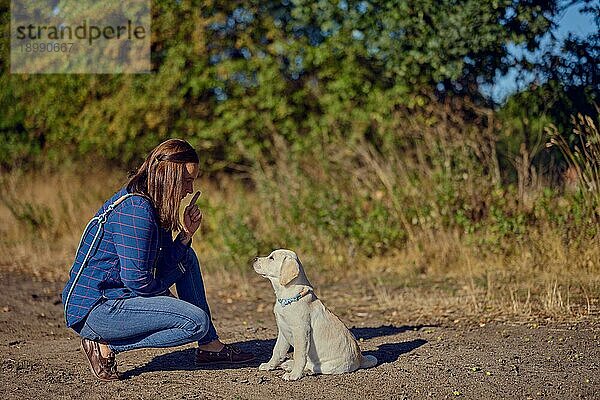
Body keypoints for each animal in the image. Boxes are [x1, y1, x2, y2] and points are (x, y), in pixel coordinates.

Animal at [252, 248, 376, 380]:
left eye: (272, 258)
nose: (254, 258)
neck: (287, 296)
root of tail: (360, 358)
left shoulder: (301, 330)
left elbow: (299, 355)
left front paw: (294, 375)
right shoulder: (282, 330)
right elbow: (277, 350)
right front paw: (269, 365)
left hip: (329, 365)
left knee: (313, 366)